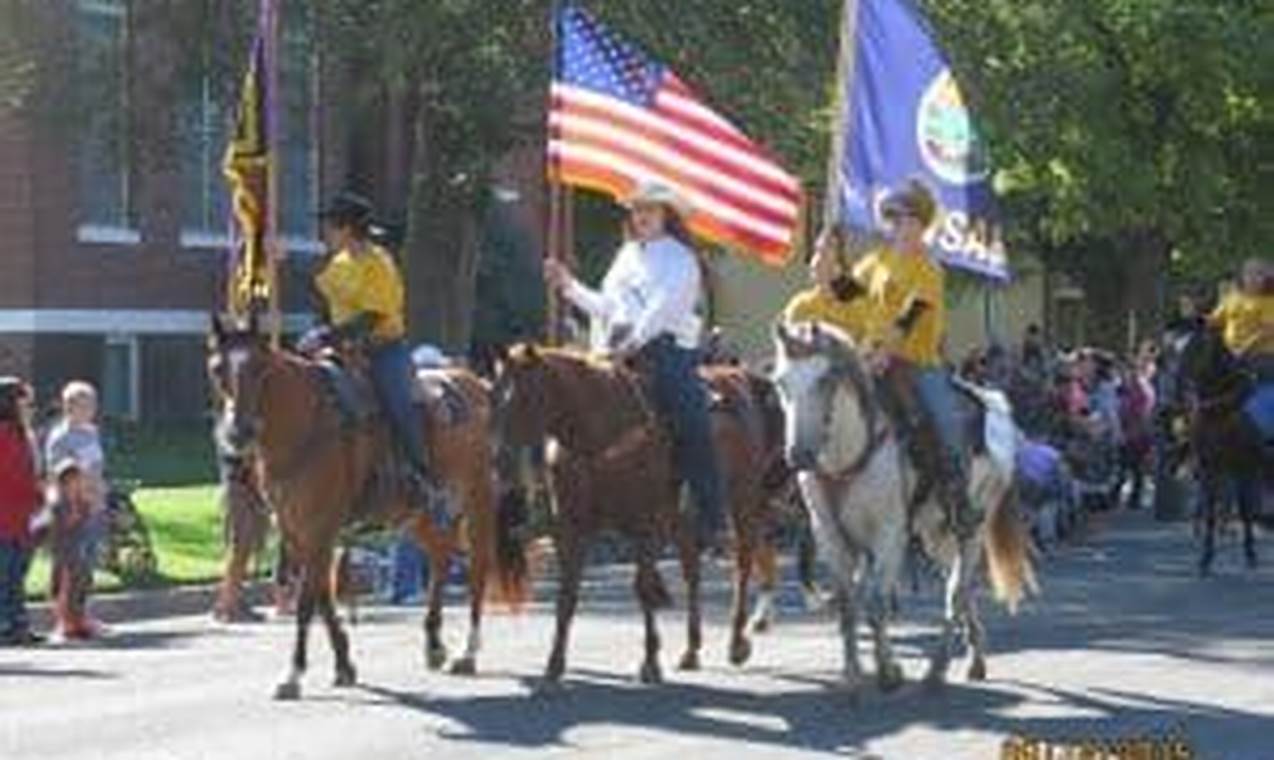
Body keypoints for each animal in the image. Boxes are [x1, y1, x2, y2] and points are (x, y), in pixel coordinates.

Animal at [208, 314, 527, 697]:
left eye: (261, 368)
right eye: (216, 369)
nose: (237, 433)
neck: (307, 421)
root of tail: (479, 385)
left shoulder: (319, 529)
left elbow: (306, 601)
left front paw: (293, 674)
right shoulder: (295, 530)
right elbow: (322, 596)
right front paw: (344, 664)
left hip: (478, 499)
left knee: (479, 565)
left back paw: (468, 652)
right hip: (418, 514)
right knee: (441, 557)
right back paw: (434, 644)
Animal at [491, 341, 774, 682]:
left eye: (526, 396)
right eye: (496, 394)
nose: (500, 461)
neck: (602, 436)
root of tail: (738, 376)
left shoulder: (646, 524)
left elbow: (643, 588)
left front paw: (650, 661)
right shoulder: (571, 527)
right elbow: (567, 594)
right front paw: (555, 662)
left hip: (742, 498)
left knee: (743, 563)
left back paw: (737, 642)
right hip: (682, 517)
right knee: (692, 571)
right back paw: (691, 649)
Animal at [764, 319, 1034, 692]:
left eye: (825, 380)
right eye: (780, 382)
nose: (798, 454)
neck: (852, 453)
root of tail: (995, 406)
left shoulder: (890, 534)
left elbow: (877, 602)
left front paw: (887, 672)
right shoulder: (831, 536)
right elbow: (848, 604)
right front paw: (853, 673)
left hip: (972, 527)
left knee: (956, 589)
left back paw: (938, 668)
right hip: (936, 535)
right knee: (960, 586)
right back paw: (975, 659)